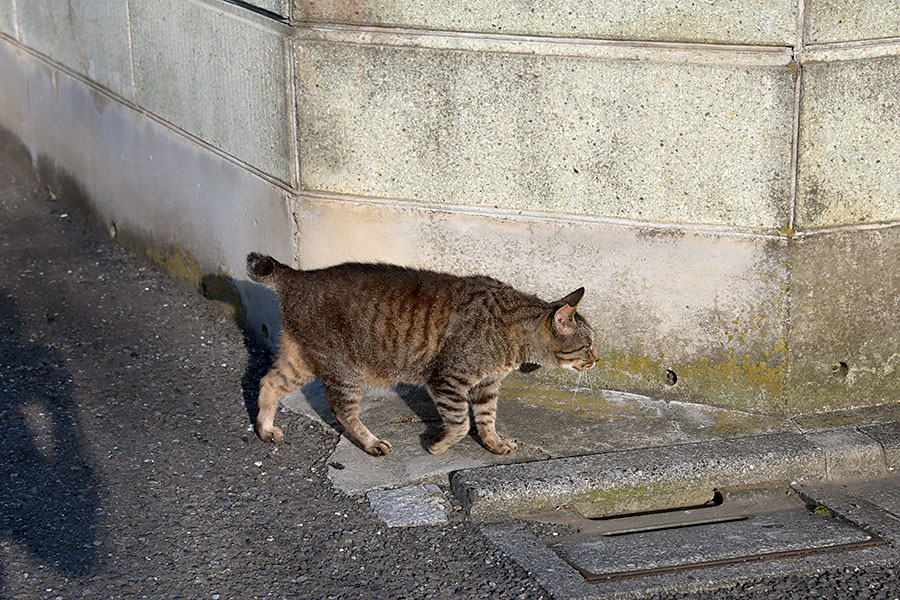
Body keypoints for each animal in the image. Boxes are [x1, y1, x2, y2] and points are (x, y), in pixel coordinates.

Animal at [246, 252, 596, 454]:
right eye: (589, 344)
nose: (597, 359)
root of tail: (298, 274)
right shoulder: (447, 379)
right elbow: (461, 423)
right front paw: (439, 445)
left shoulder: (486, 386)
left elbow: (486, 419)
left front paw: (494, 444)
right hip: (343, 368)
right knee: (342, 412)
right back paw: (371, 443)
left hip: (301, 360)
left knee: (267, 382)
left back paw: (265, 429)